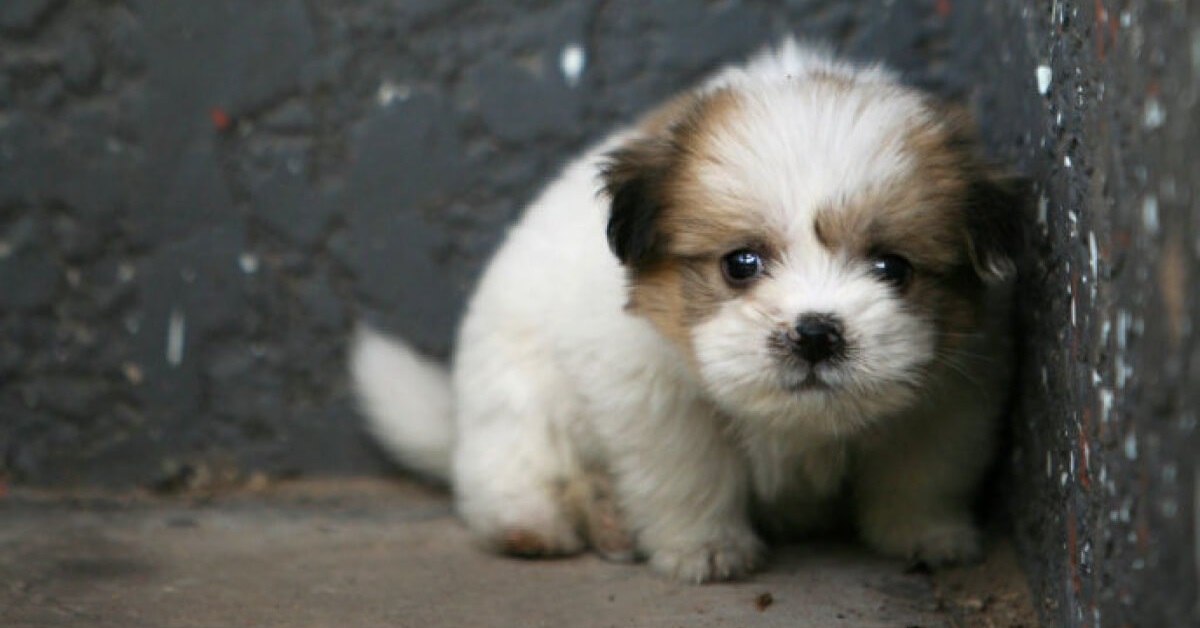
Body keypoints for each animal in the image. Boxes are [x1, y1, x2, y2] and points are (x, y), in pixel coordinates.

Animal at [350, 40, 1017, 585]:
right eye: (741, 264)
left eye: (892, 268)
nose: (815, 334)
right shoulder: (654, 397)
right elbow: (688, 472)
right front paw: (706, 547)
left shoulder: (953, 387)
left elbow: (924, 467)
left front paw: (927, 533)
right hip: (515, 389)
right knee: (512, 462)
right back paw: (538, 523)